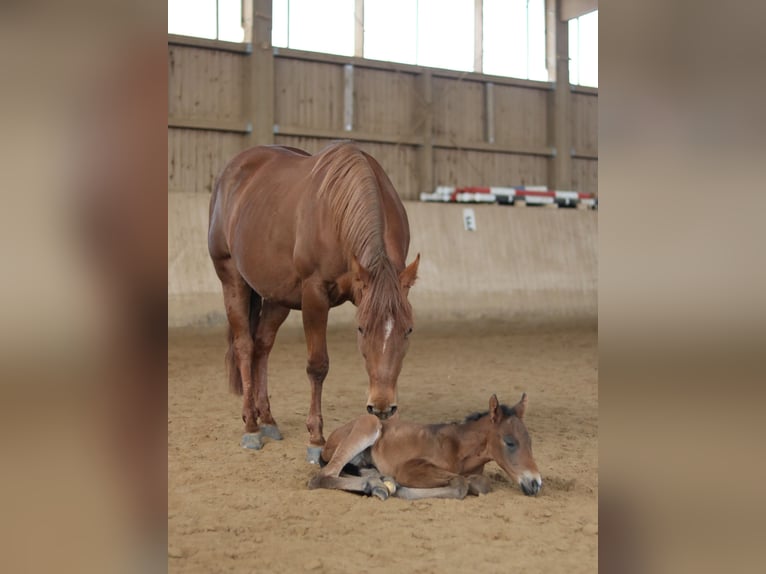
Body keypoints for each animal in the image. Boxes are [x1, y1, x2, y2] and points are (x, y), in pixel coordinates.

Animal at [208, 144, 420, 464]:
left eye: (408, 330)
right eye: (360, 329)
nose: (382, 407)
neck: (339, 211)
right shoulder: (315, 295)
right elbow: (317, 366)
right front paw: (316, 438)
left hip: (278, 297)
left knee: (262, 346)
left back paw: (267, 418)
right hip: (232, 279)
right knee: (245, 346)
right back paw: (251, 425)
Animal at [308, 394, 544, 502]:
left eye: (530, 442)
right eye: (510, 442)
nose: (536, 483)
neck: (458, 448)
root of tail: (329, 441)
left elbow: (481, 483)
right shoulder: (409, 468)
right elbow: (460, 484)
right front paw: (402, 489)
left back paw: (377, 482)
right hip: (370, 423)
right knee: (322, 477)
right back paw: (379, 486)